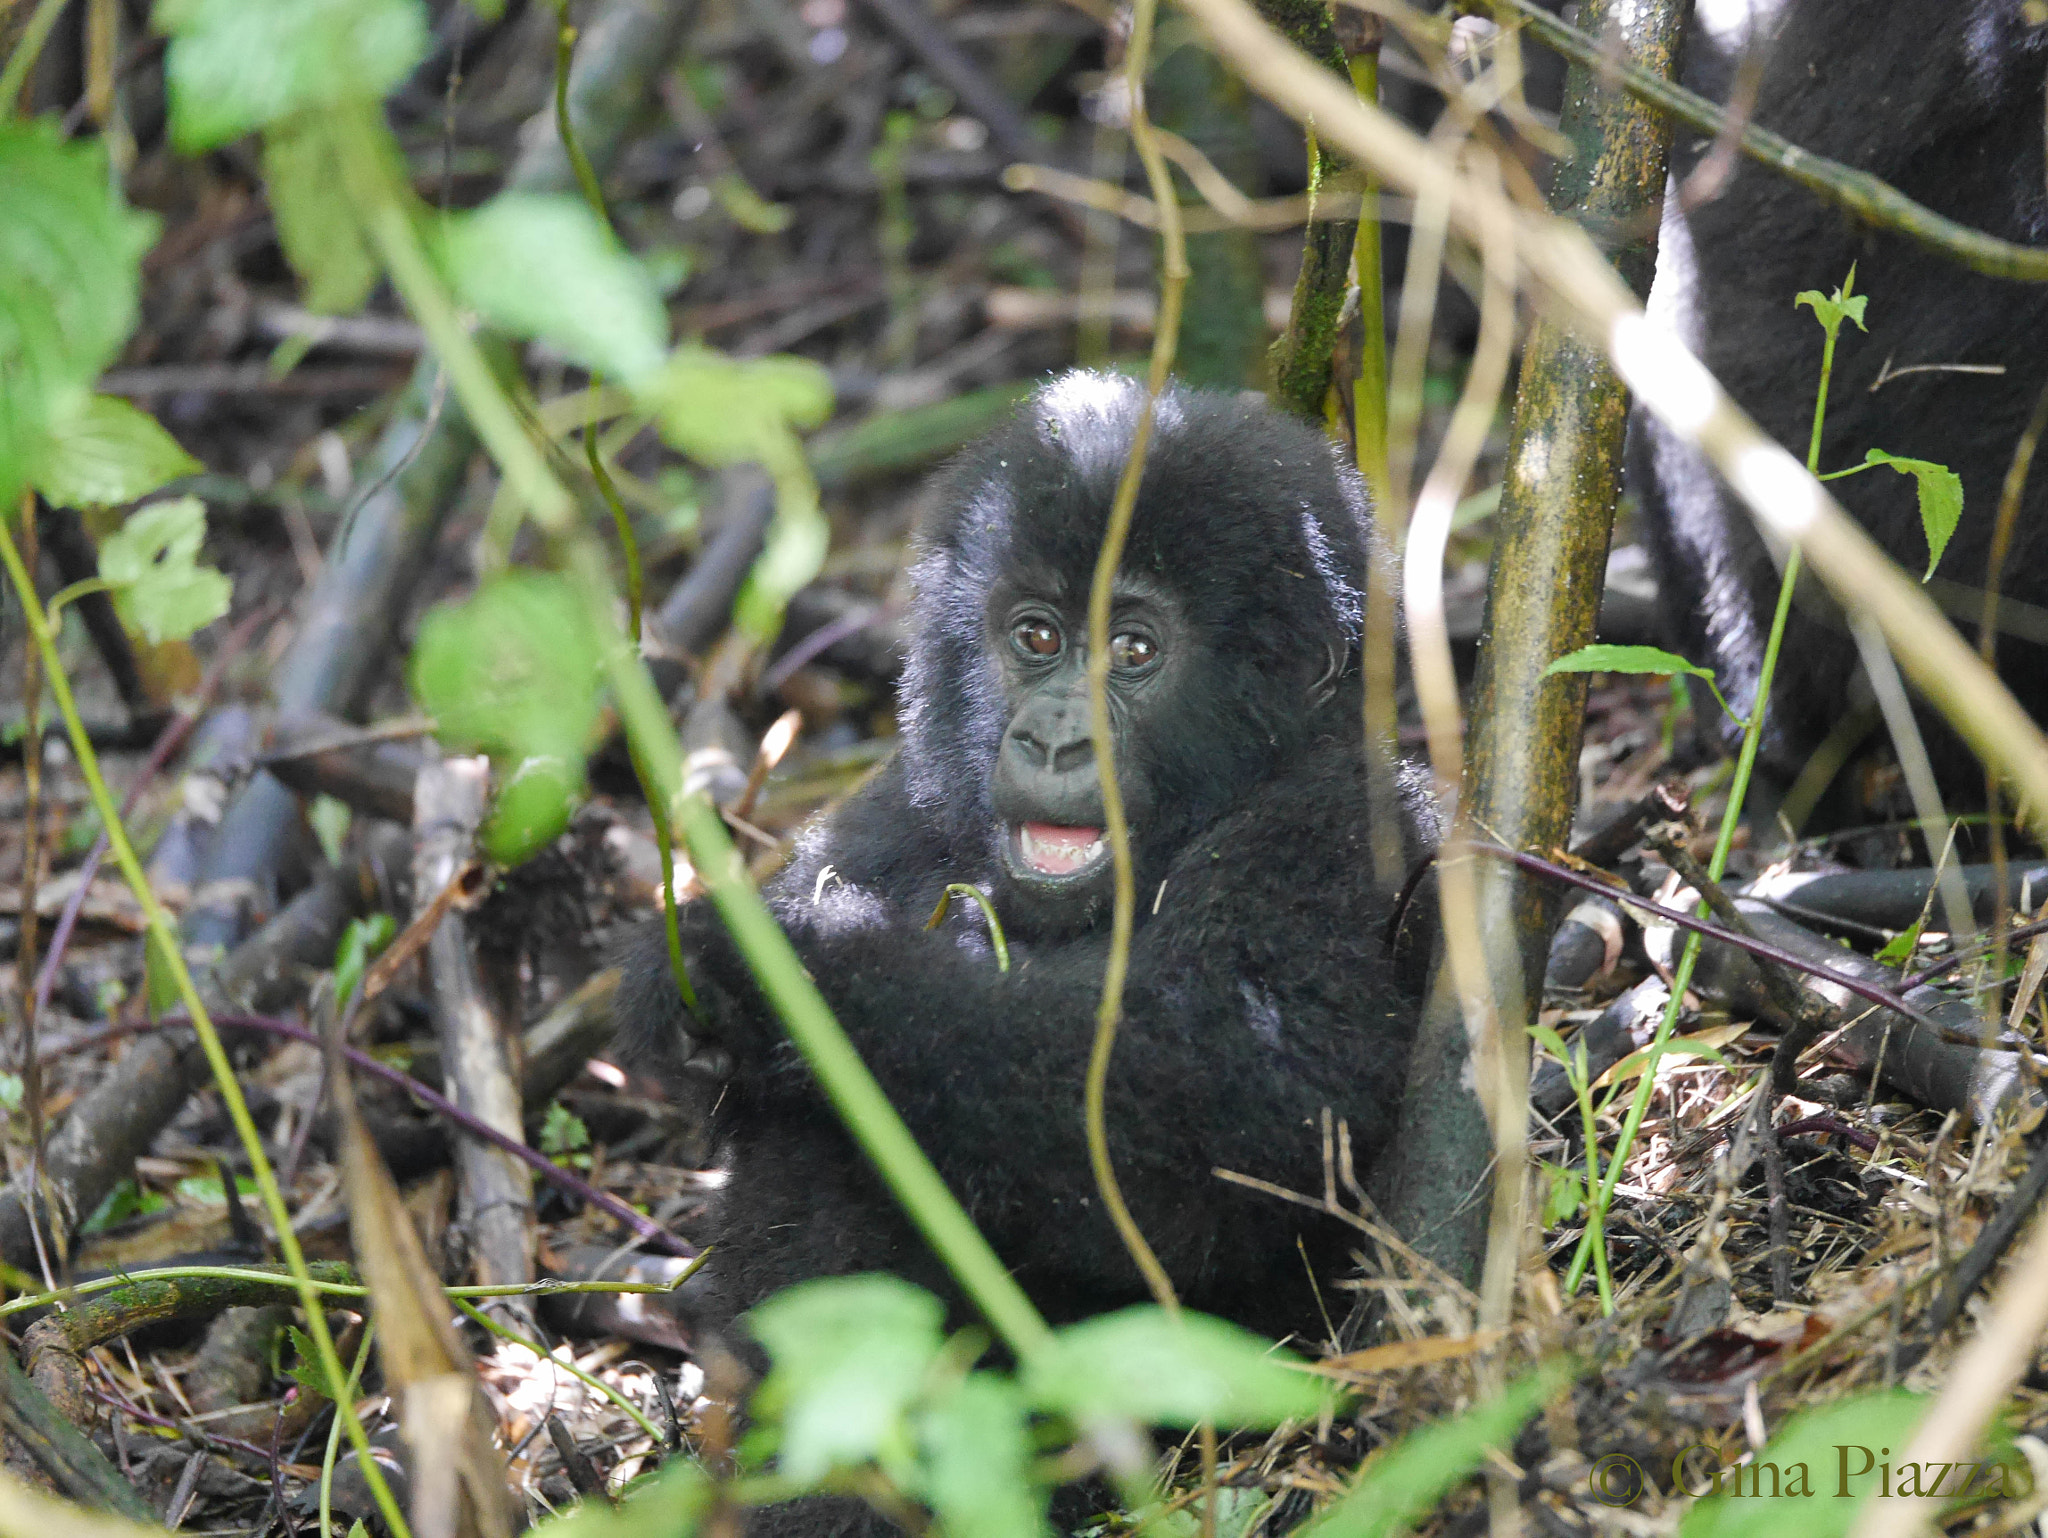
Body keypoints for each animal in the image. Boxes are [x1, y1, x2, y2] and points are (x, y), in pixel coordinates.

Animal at [614, 372, 1433, 1359]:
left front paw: (781, 968)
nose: (1051, 740)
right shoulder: (899, 803)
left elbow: (1234, 1097)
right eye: (1037, 638)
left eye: (1134, 651)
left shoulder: (1336, 831)